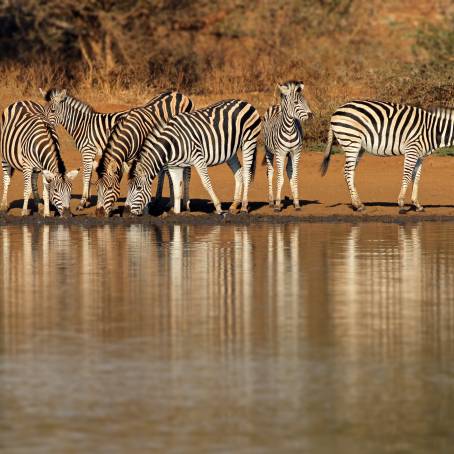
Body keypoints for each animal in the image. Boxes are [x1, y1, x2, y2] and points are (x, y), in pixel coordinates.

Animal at [122, 99, 260, 218]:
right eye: (128, 188)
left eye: (139, 188)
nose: (126, 212)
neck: (172, 143)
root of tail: (244, 102)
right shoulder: (174, 166)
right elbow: (176, 188)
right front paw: (176, 213)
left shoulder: (198, 158)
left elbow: (206, 182)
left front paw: (218, 207)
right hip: (230, 151)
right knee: (238, 172)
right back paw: (234, 205)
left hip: (249, 141)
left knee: (247, 173)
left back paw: (244, 207)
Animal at [262, 80, 312, 211]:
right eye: (296, 102)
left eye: (305, 102)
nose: (311, 116)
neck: (289, 129)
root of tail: (276, 106)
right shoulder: (280, 153)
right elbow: (280, 178)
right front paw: (277, 204)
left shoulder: (296, 153)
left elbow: (294, 177)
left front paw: (297, 203)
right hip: (268, 150)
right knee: (270, 172)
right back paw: (271, 201)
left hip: (289, 155)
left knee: (289, 171)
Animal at [320, 100, 454, 213]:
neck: (434, 130)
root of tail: (336, 111)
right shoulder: (412, 150)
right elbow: (407, 176)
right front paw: (401, 203)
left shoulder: (420, 156)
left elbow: (416, 178)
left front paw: (417, 205)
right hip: (351, 141)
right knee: (348, 171)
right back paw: (357, 206)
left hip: (358, 147)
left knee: (349, 171)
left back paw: (358, 204)